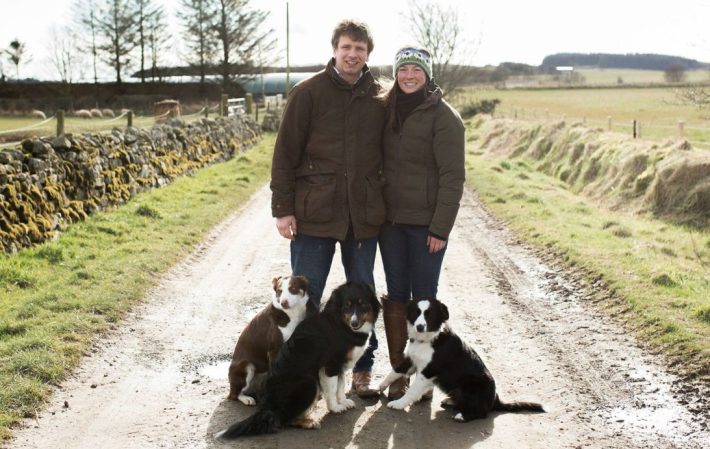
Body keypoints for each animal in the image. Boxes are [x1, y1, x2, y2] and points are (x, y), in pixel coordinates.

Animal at [227, 274, 308, 404]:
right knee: (234, 395)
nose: (284, 302)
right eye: (280, 291)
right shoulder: (274, 349)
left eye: (293, 289)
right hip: (247, 366)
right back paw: (246, 399)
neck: (289, 314)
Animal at [378, 298, 544, 420]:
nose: (419, 327)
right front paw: (379, 386)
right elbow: (393, 372)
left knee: (482, 413)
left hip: (471, 385)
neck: (428, 339)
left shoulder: (427, 372)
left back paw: (462, 416)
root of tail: (495, 399)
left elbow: (412, 391)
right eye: (416, 313)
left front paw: (398, 404)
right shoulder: (410, 361)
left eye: (429, 315)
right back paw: (451, 401)